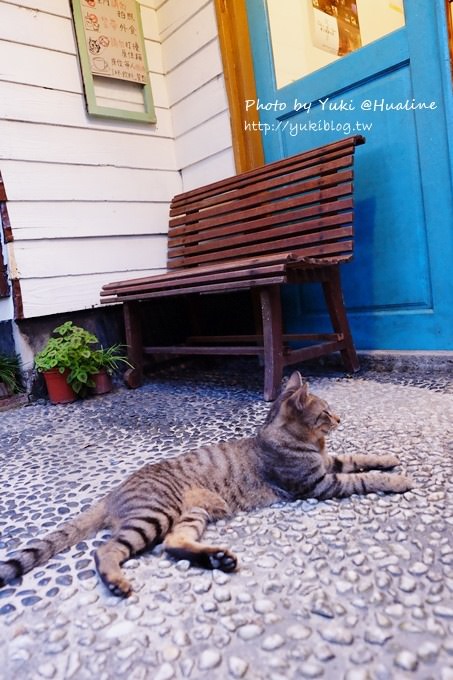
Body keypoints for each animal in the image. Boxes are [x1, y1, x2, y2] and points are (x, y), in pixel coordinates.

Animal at [0, 372, 412, 596]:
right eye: (326, 412)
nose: (340, 419)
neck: (309, 444)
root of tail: (113, 492)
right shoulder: (318, 484)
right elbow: (363, 478)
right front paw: (398, 479)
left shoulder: (329, 464)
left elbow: (361, 458)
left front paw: (390, 458)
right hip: (154, 514)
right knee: (106, 551)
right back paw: (118, 582)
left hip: (192, 514)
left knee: (172, 545)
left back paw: (217, 558)